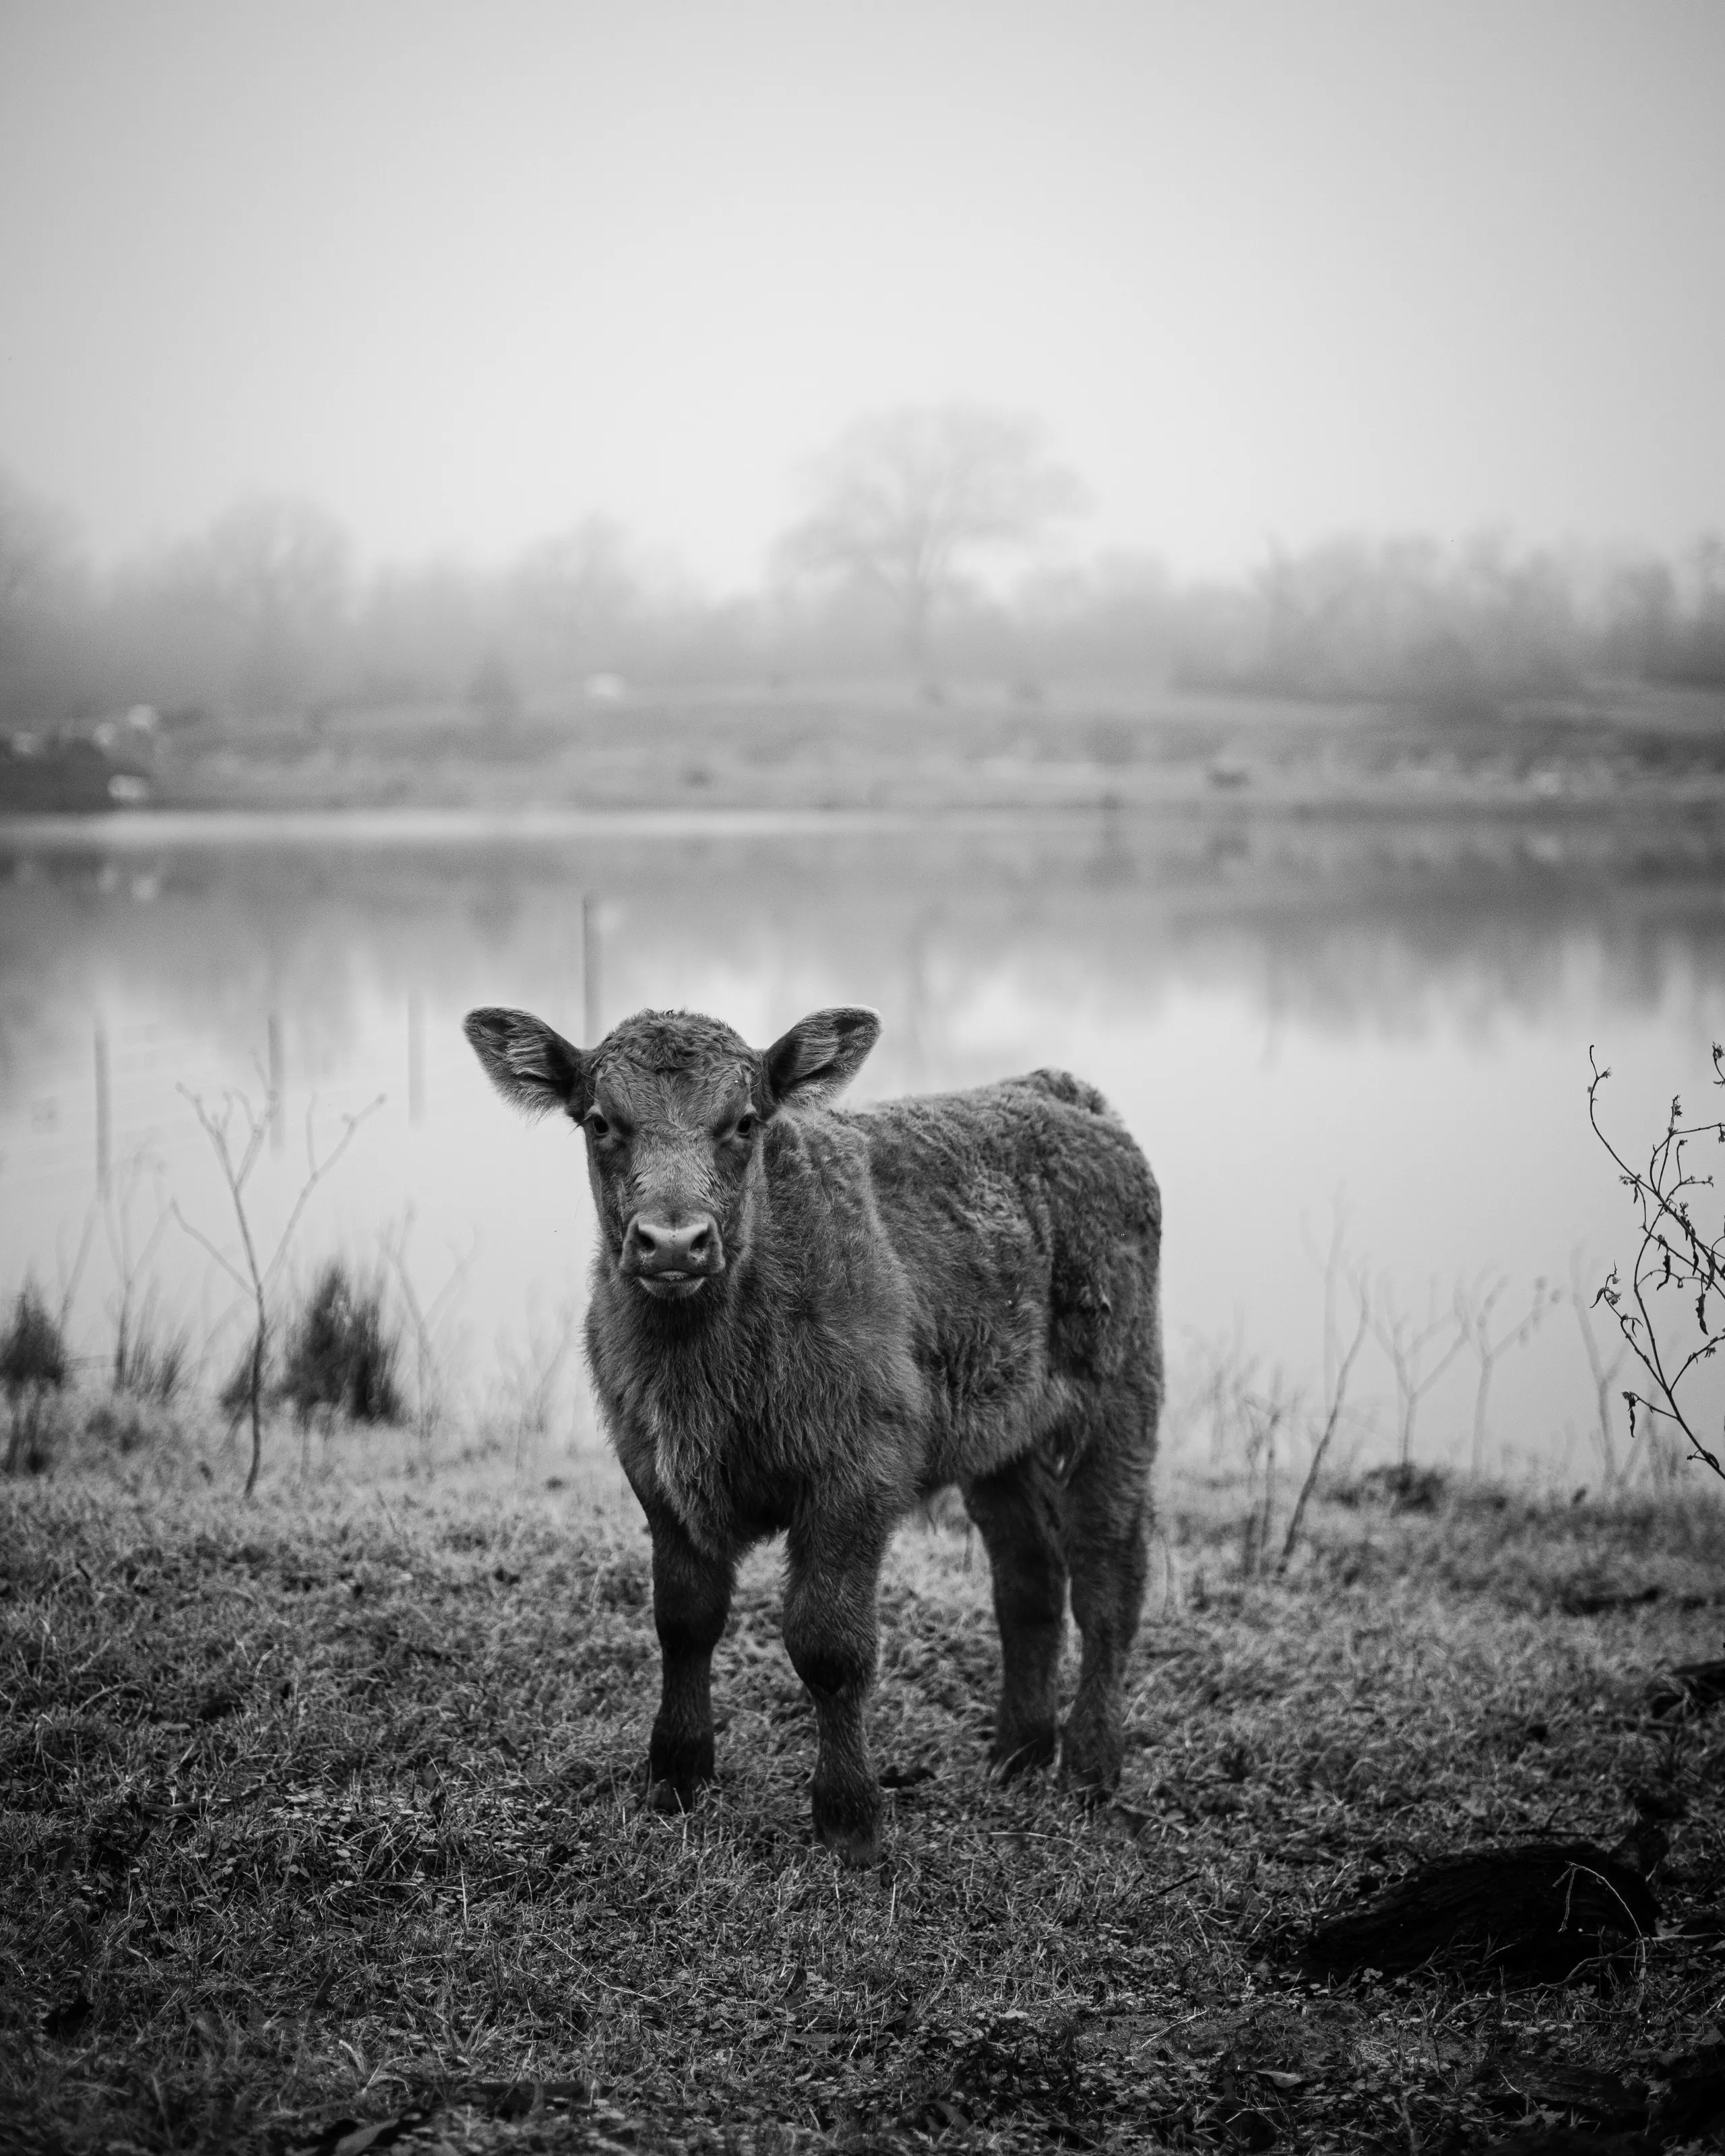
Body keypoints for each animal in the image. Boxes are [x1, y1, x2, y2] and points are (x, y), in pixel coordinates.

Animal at [463, 1001, 1162, 1864]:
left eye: (745, 1121)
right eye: (600, 1121)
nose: (673, 1241)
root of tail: (1056, 1091)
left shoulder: (857, 1472)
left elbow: (829, 1644)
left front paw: (849, 1816)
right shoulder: (653, 1469)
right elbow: (683, 1619)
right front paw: (676, 1775)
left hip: (1121, 1394)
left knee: (1108, 1576)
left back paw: (1090, 1769)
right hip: (1003, 1433)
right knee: (1028, 1574)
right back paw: (1018, 1753)